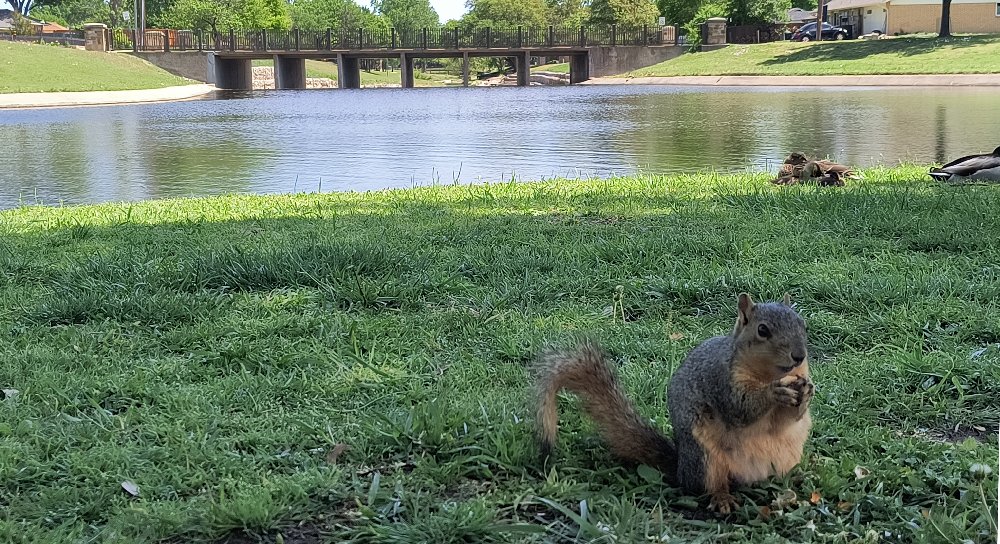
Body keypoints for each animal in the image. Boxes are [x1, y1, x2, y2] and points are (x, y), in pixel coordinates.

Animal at [533, 293, 814, 514]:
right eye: (762, 330)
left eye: (803, 324)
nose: (799, 355)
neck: (770, 373)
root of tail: (680, 467)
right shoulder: (721, 380)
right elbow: (740, 409)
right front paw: (773, 392)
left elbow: (787, 420)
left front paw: (808, 392)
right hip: (704, 457)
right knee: (707, 485)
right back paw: (721, 498)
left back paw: (797, 480)